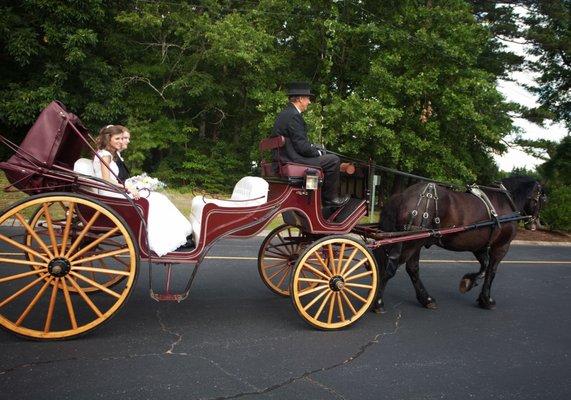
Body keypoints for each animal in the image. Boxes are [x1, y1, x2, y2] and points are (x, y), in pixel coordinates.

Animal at [374, 177, 548, 312]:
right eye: (543, 199)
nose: (535, 224)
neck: (506, 202)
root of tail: (403, 195)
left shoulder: (478, 246)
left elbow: (484, 267)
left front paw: (469, 282)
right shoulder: (501, 246)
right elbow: (491, 271)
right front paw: (486, 299)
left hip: (415, 242)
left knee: (412, 269)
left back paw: (426, 299)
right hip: (411, 242)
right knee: (390, 268)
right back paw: (378, 303)